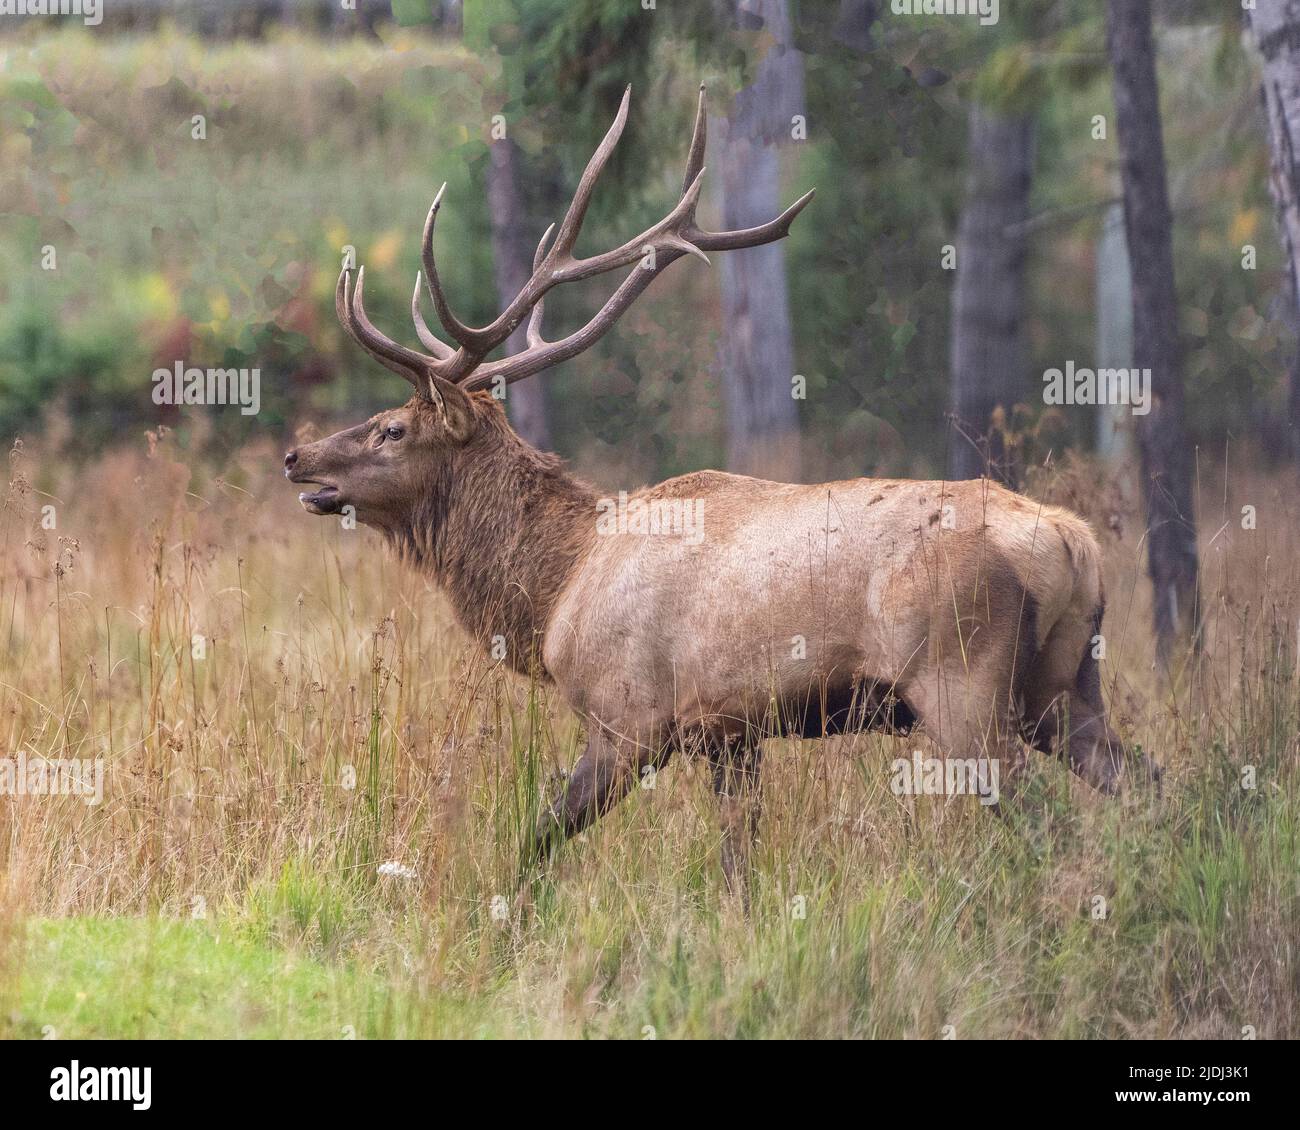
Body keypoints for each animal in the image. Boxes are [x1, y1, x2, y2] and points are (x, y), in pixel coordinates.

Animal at [284, 85, 1159, 889]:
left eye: (393, 430)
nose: (298, 458)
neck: (557, 585)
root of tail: (1074, 544)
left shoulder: (632, 717)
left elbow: (535, 841)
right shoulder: (729, 732)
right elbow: (740, 865)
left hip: (963, 687)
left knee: (1053, 828)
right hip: (1065, 689)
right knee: (1149, 785)